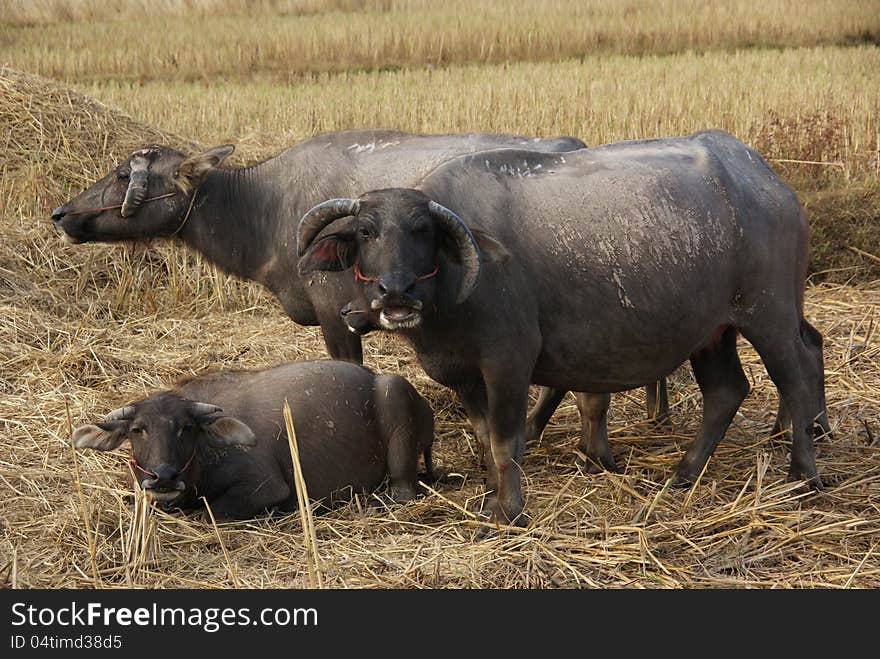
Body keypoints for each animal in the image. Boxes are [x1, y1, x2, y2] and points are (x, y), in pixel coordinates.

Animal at [73, 360, 436, 520]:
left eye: (186, 427)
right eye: (138, 429)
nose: (163, 477)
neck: (205, 458)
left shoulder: (266, 488)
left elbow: (211, 513)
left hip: (395, 396)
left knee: (404, 489)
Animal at [296, 129, 832, 532]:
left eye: (422, 232)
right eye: (366, 233)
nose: (395, 291)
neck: (454, 290)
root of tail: (766, 181)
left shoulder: (508, 362)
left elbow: (505, 439)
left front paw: (508, 510)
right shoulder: (465, 374)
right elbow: (482, 433)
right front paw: (491, 491)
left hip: (769, 315)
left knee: (797, 373)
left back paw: (804, 472)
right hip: (712, 331)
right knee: (726, 391)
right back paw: (683, 474)